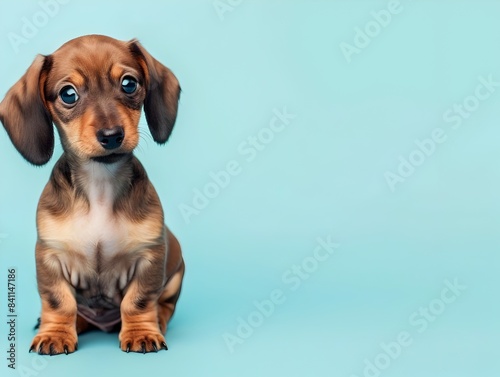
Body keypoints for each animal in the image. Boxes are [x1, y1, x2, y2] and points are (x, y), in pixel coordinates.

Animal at [0, 33, 186, 354]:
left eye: (129, 83)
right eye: (68, 94)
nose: (111, 136)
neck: (100, 185)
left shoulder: (150, 257)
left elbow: (138, 301)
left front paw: (141, 332)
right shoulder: (50, 257)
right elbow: (59, 302)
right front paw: (55, 334)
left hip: (176, 272)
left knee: (165, 306)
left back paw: (158, 322)